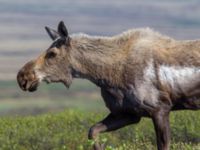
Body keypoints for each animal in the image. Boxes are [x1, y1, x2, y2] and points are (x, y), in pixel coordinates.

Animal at [17, 21, 200, 150]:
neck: (106, 76)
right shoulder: (128, 114)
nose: (22, 77)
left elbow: (163, 144)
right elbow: (93, 131)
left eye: (52, 53)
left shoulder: (160, 108)